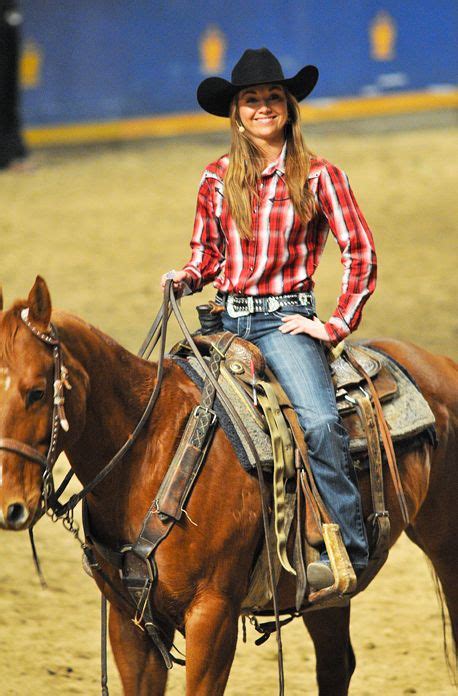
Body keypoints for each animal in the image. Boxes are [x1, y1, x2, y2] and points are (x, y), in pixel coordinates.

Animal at [0, 274, 456, 692]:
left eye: (37, 392)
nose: (10, 507)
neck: (150, 450)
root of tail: (439, 364)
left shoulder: (212, 615)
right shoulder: (129, 623)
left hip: (444, 548)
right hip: (327, 596)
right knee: (336, 663)